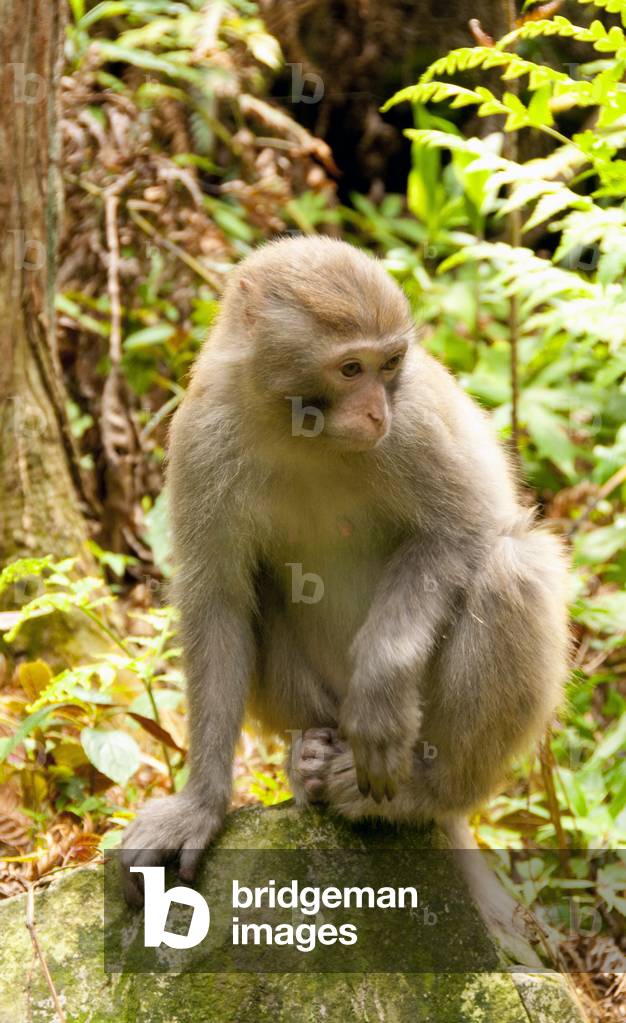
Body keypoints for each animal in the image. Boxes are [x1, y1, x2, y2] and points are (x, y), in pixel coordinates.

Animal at [121, 236, 569, 928]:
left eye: (390, 364)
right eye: (351, 370)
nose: (376, 411)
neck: (301, 429)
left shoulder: (412, 423)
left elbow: (461, 531)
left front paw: (381, 687)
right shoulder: (201, 437)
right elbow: (218, 604)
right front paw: (201, 804)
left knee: (511, 566)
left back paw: (424, 792)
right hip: (318, 695)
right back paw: (307, 759)